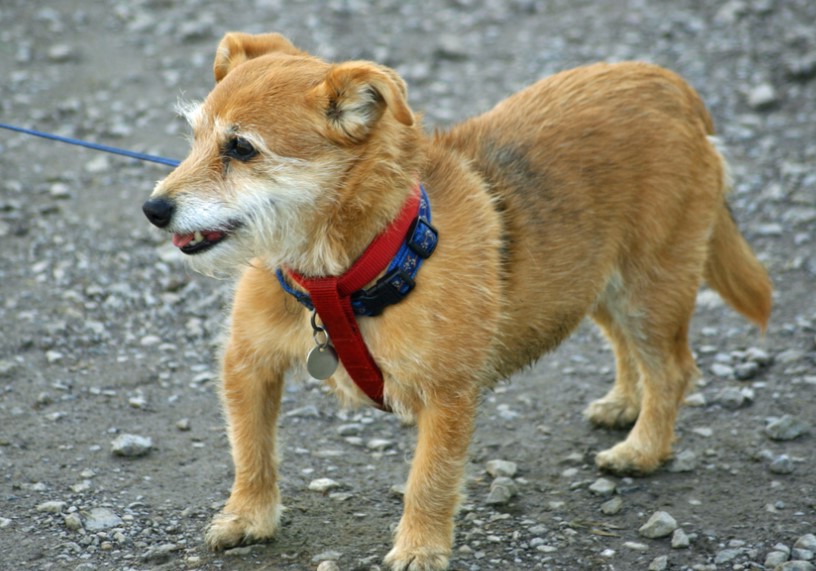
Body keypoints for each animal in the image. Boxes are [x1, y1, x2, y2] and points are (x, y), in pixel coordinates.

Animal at [142, 32, 772, 571]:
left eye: (242, 148)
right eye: (195, 138)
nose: (154, 209)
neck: (339, 274)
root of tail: (670, 85)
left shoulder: (447, 396)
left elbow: (431, 479)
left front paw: (420, 548)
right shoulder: (247, 366)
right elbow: (251, 452)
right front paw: (248, 516)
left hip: (651, 287)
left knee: (672, 368)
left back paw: (642, 448)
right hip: (594, 280)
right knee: (626, 345)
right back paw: (624, 404)